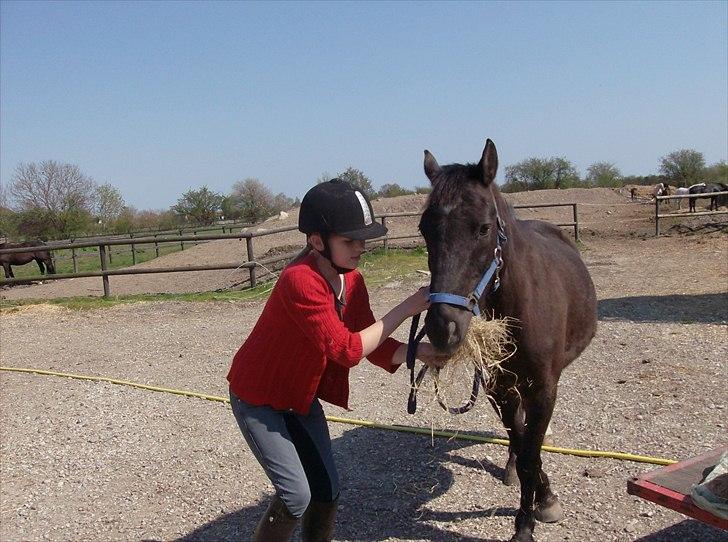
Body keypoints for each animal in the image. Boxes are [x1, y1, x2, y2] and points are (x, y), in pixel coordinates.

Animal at [418, 140, 596, 542]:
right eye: (424, 230)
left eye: (484, 228)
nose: (442, 327)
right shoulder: (498, 385)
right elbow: (521, 441)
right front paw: (538, 497)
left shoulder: (543, 389)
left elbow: (531, 449)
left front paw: (530, 520)